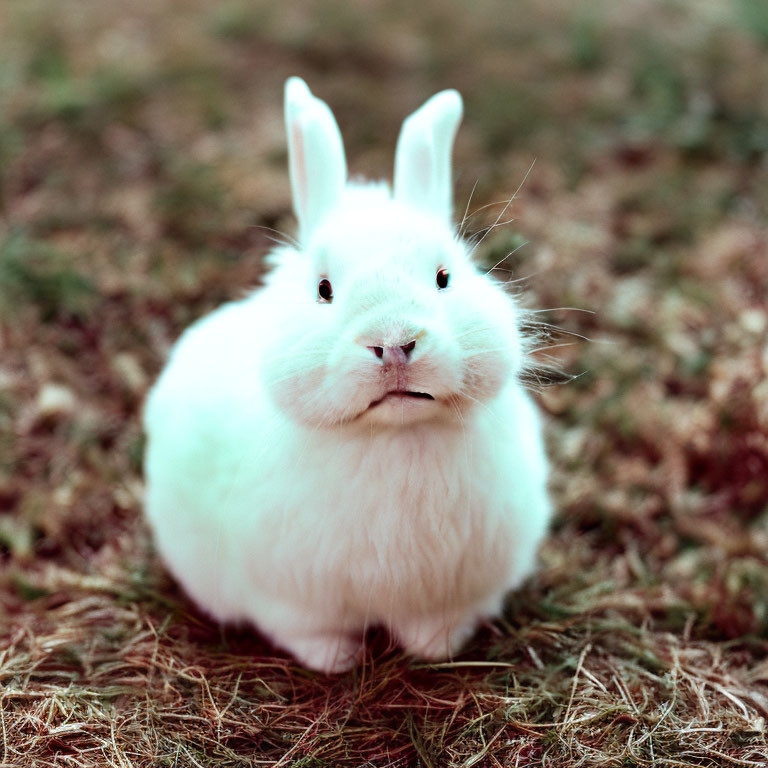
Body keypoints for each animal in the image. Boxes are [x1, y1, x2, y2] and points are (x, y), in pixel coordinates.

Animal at [144, 76, 552, 672]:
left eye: (444, 277)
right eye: (324, 289)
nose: (395, 343)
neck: (394, 435)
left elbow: (435, 625)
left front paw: (436, 649)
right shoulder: (292, 603)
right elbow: (312, 633)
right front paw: (337, 662)